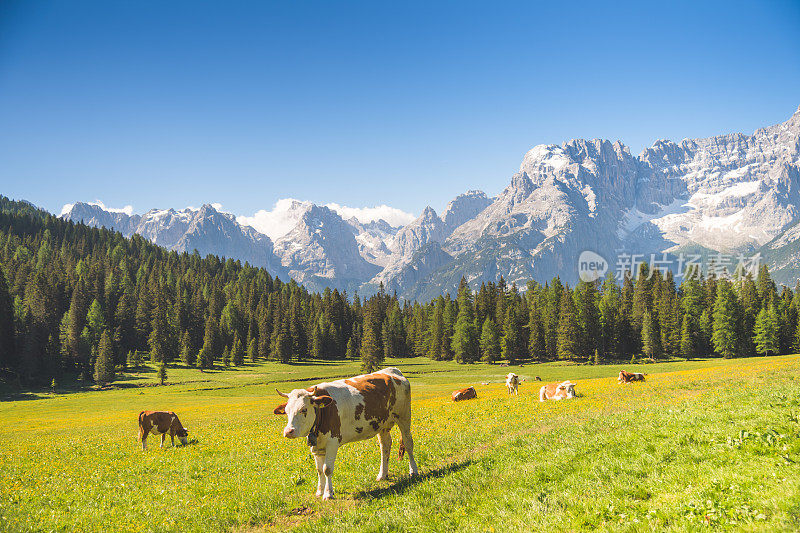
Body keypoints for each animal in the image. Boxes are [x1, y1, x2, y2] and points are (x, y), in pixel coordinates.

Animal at [272, 366, 418, 498]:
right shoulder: (317, 446)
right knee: (385, 446)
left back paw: (414, 471)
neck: (322, 412)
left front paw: (328, 494)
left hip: (404, 416)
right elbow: (319, 470)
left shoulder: (332, 441)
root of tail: (392, 371)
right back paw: (382, 475)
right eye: (286, 411)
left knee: (408, 443)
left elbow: (327, 469)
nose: (288, 431)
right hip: (382, 425)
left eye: (304, 409)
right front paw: (319, 492)